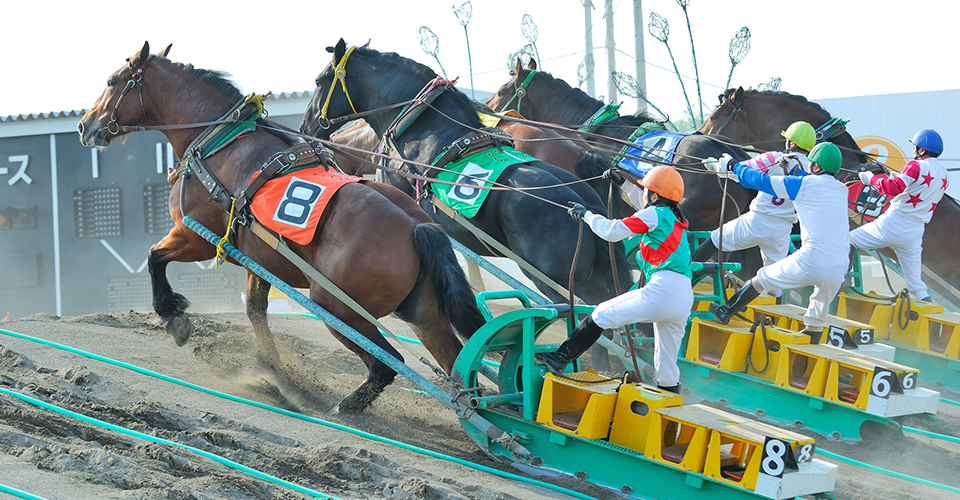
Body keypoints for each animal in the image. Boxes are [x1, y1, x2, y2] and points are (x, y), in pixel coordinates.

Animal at [76, 42, 487, 414]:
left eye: (112, 81)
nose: (85, 124)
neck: (221, 142)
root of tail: (417, 228)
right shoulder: (259, 259)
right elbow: (255, 310)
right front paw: (275, 367)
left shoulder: (195, 237)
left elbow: (154, 257)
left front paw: (171, 313)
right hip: (423, 316)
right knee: (460, 373)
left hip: (336, 307)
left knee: (388, 365)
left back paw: (348, 406)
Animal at [300, 40, 633, 312]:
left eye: (319, 81)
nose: (306, 126)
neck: (424, 127)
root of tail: (582, 207)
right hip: (607, 280)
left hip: (560, 285)